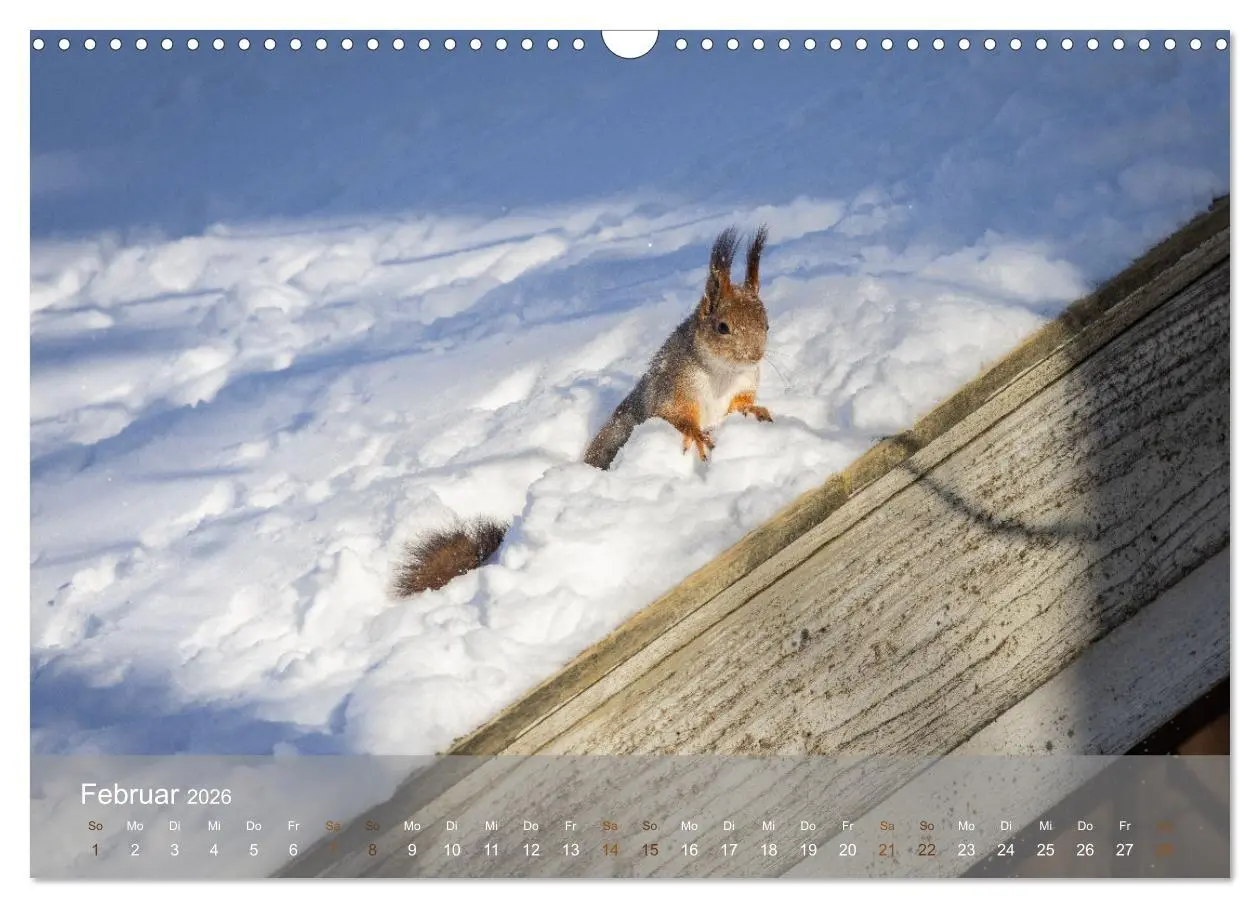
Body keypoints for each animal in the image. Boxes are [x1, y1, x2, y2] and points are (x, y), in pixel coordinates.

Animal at [392, 226, 774, 598]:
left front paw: (755, 410)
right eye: (722, 327)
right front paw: (695, 434)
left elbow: (741, 403)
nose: (755, 355)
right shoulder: (672, 387)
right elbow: (674, 415)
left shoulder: (743, 383)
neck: (721, 373)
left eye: (767, 324)